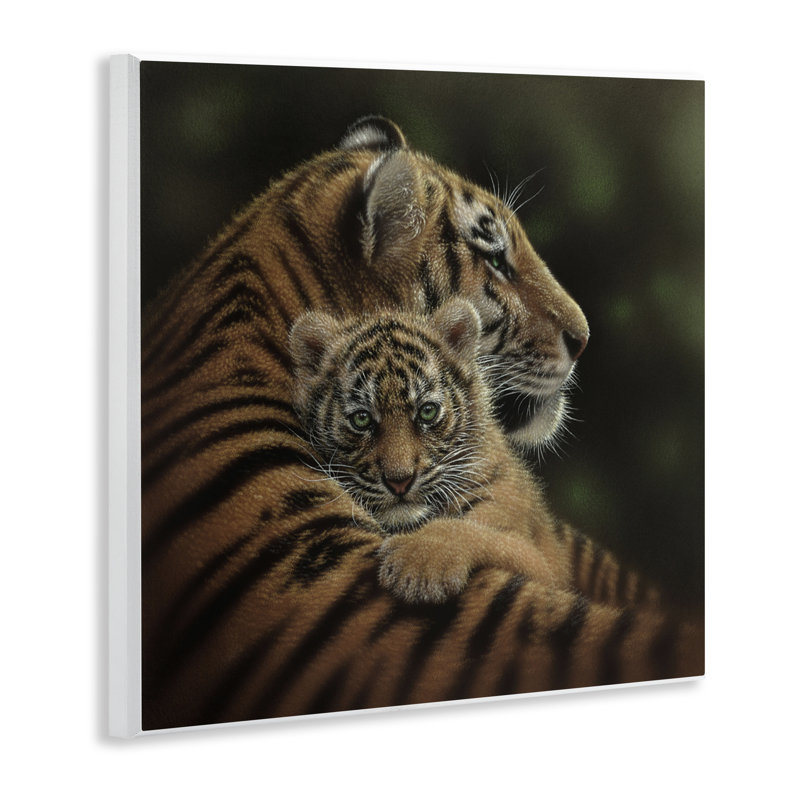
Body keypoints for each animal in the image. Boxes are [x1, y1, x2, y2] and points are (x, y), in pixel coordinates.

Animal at [290, 298, 575, 604]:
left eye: (427, 411)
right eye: (362, 419)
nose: (399, 481)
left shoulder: (541, 563)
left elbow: (478, 533)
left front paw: (419, 564)